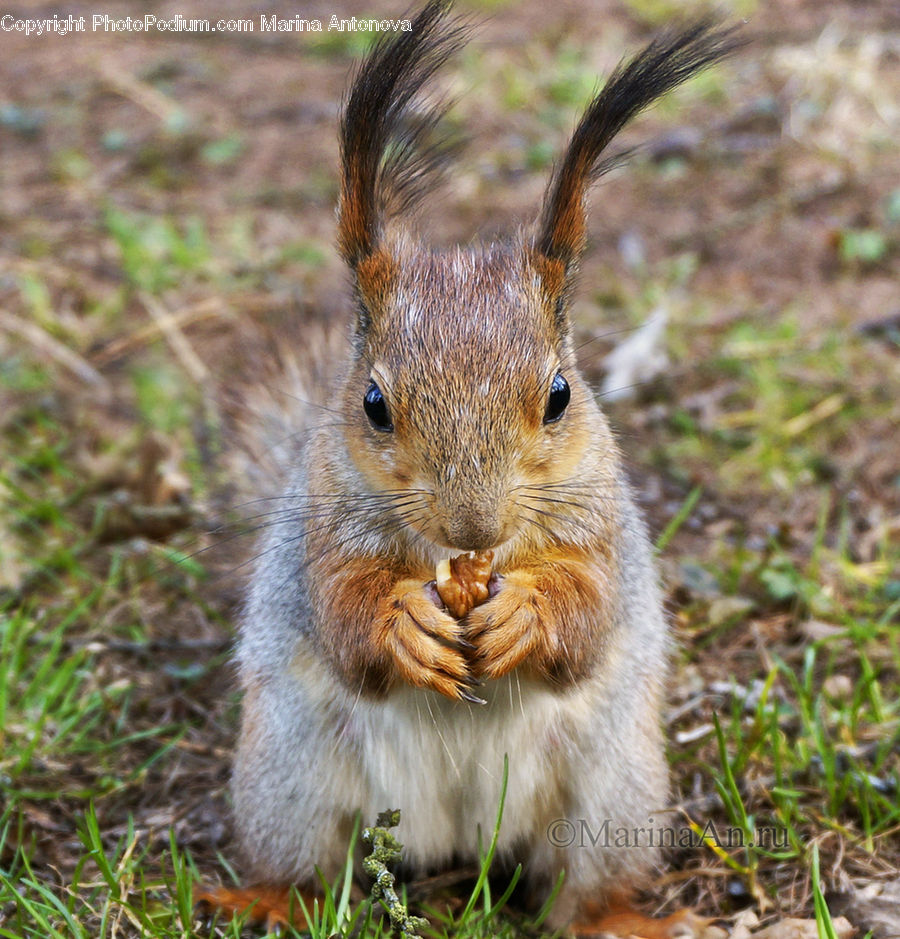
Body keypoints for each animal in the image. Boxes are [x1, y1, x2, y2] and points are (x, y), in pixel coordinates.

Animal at [199, 1, 742, 934]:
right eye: (373, 403)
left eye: (560, 395)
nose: (473, 526)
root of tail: (452, 836)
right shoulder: (321, 527)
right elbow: (342, 612)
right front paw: (400, 622)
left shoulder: (603, 524)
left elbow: (588, 610)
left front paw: (526, 612)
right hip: (289, 777)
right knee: (309, 866)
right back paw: (265, 898)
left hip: (613, 794)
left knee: (577, 887)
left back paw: (615, 915)